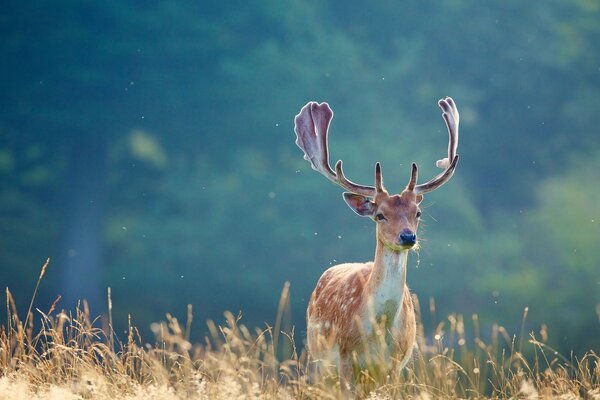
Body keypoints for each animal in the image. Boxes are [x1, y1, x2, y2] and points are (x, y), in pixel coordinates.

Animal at [294, 95, 460, 390]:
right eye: (380, 215)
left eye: (417, 212)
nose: (408, 236)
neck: (378, 331)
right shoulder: (345, 360)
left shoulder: (394, 366)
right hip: (319, 361)